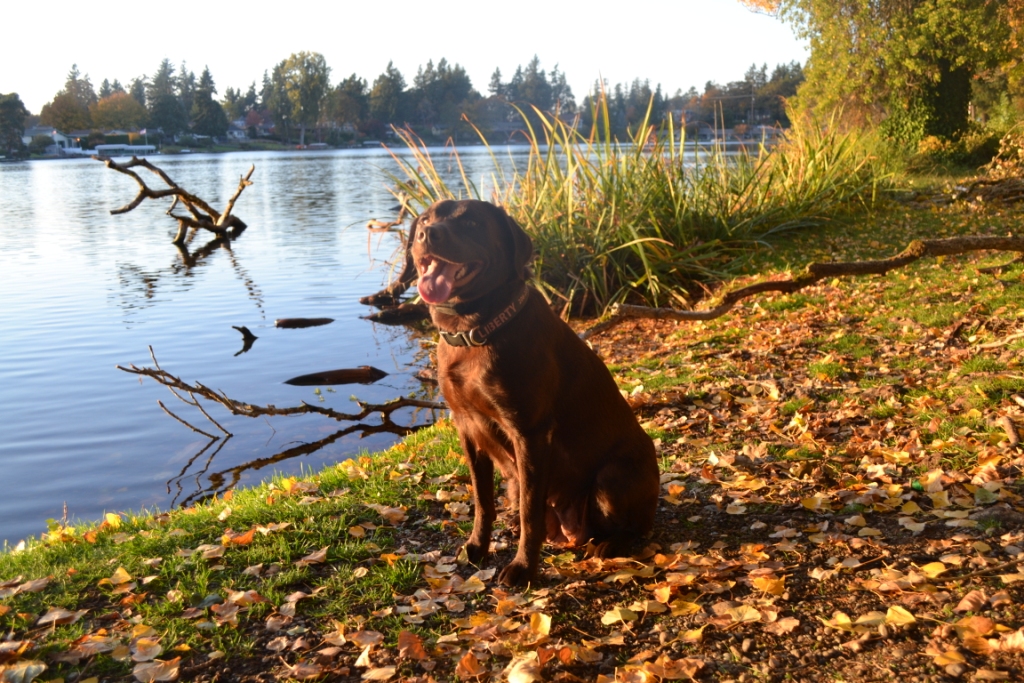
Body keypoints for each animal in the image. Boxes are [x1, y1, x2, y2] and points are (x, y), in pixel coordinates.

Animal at [407, 197, 655, 589]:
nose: (426, 234)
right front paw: (477, 547)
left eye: (472, 223)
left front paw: (524, 567)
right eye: (426, 219)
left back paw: (610, 544)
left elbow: (530, 511)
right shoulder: (467, 428)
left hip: (613, 479)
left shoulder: (530, 432)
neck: (473, 331)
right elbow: (482, 500)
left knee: (637, 525)